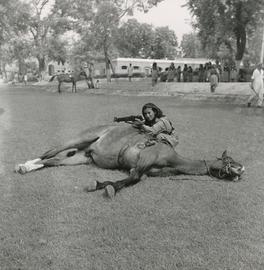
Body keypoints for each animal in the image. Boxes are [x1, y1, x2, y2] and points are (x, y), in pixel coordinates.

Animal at [14, 125, 245, 198]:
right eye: (229, 160)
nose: (242, 169)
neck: (171, 158)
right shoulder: (143, 160)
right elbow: (132, 178)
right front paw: (104, 187)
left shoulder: (144, 171)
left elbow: (134, 179)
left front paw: (103, 185)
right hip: (80, 138)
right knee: (49, 152)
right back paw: (24, 164)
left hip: (81, 157)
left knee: (53, 161)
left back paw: (28, 168)